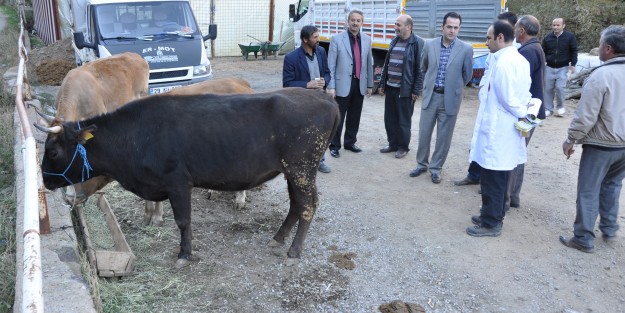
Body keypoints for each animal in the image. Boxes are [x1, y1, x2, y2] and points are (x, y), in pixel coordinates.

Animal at [40, 88, 338, 266]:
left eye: (52, 151)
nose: (44, 180)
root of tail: (323, 97)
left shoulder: (178, 183)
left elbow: (183, 221)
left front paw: (184, 253)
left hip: (302, 169)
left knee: (308, 206)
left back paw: (294, 250)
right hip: (293, 171)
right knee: (296, 205)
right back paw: (277, 238)